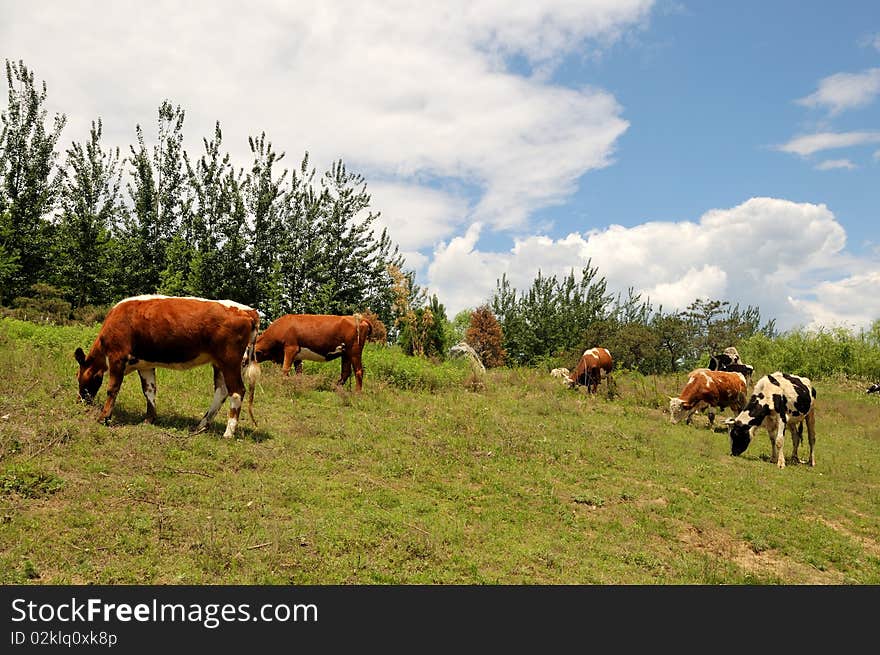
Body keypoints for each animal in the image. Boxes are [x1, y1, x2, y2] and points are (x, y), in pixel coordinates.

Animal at [73, 294, 260, 438]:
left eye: (79, 376)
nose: (79, 400)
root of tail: (247, 311)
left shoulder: (117, 357)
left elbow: (112, 389)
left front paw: (103, 417)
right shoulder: (145, 364)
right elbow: (149, 390)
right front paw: (149, 419)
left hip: (230, 361)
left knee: (237, 391)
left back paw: (228, 433)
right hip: (220, 363)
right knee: (221, 391)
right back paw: (201, 425)